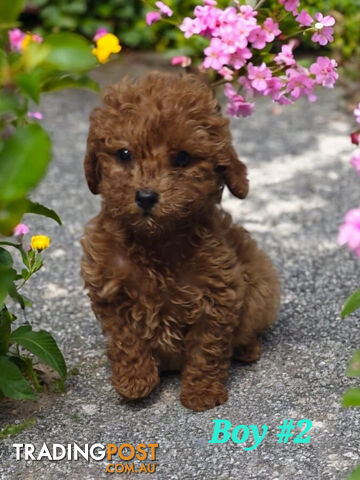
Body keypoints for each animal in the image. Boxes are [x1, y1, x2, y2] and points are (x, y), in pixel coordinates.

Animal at [81, 71, 282, 412]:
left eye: (182, 158)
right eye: (124, 154)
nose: (146, 196)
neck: (155, 241)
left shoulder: (217, 294)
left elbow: (207, 347)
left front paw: (201, 392)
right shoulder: (108, 289)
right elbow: (126, 339)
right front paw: (135, 381)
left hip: (260, 282)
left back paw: (247, 349)